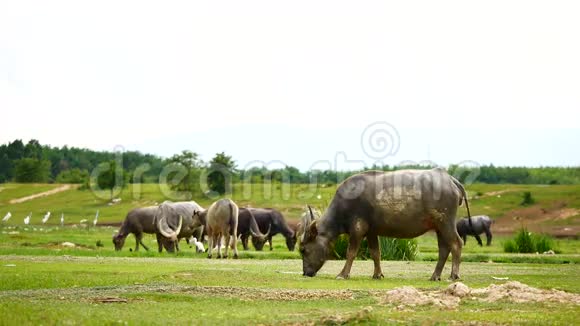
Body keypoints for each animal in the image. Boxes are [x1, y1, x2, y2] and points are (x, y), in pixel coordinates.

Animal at [300, 168, 472, 280]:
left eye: (303, 250)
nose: (305, 273)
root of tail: (449, 179)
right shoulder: (371, 232)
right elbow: (376, 253)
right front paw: (377, 274)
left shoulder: (357, 229)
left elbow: (351, 253)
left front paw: (343, 274)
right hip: (438, 226)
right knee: (444, 249)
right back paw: (435, 276)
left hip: (446, 222)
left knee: (456, 243)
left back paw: (453, 275)